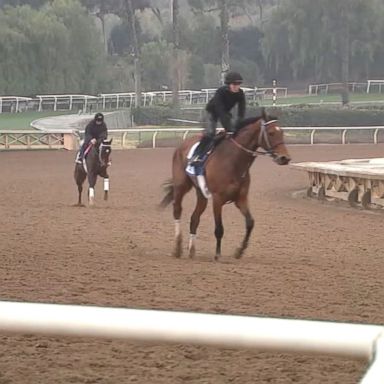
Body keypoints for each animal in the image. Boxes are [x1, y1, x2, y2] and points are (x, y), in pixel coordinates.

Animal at [160, 111, 292, 260]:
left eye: (282, 132)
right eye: (271, 133)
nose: (285, 158)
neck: (233, 162)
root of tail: (181, 145)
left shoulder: (241, 198)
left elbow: (250, 223)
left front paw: (240, 250)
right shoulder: (217, 199)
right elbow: (219, 229)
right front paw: (217, 254)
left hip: (201, 193)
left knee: (194, 218)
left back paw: (192, 250)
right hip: (181, 185)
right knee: (177, 210)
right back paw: (177, 247)